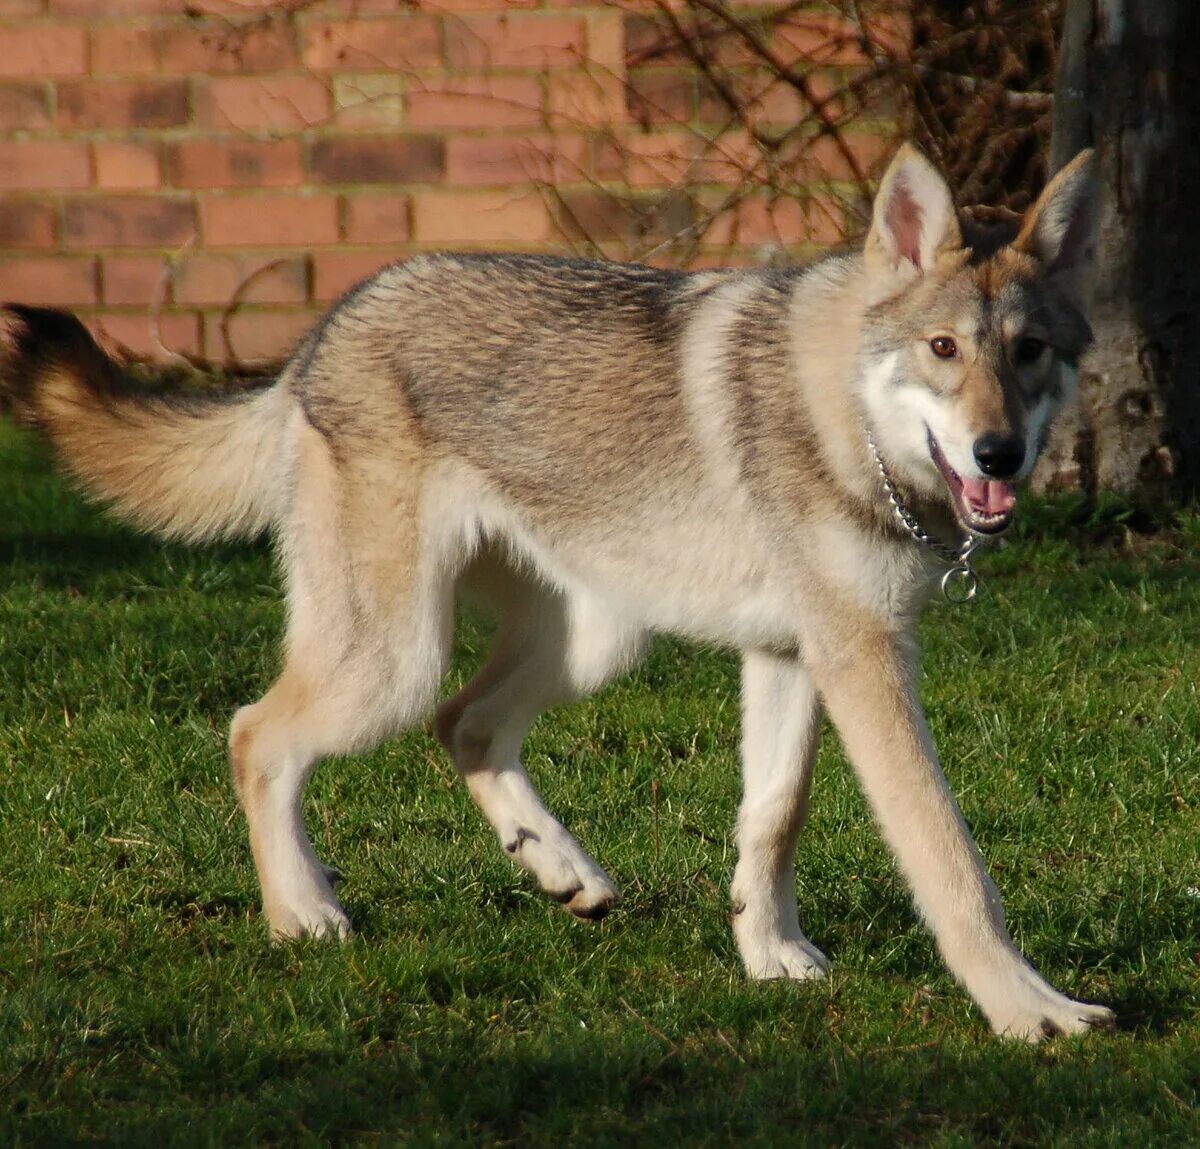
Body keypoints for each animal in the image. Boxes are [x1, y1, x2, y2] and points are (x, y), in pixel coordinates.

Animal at [0, 143, 1113, 1045]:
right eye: (944, 350)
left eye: (1029, 352)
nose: (1000, 454)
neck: (841, 413)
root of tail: (321, 336)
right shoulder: (863, 662)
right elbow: (952, 864)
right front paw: (1029, 1010)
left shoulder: (795, 656)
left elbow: (772, 819)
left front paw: (770, 958)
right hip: (395, 662)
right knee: (255, 733)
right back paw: (302, 914)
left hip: (591, 643)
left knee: (465, 724)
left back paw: (560, 869)